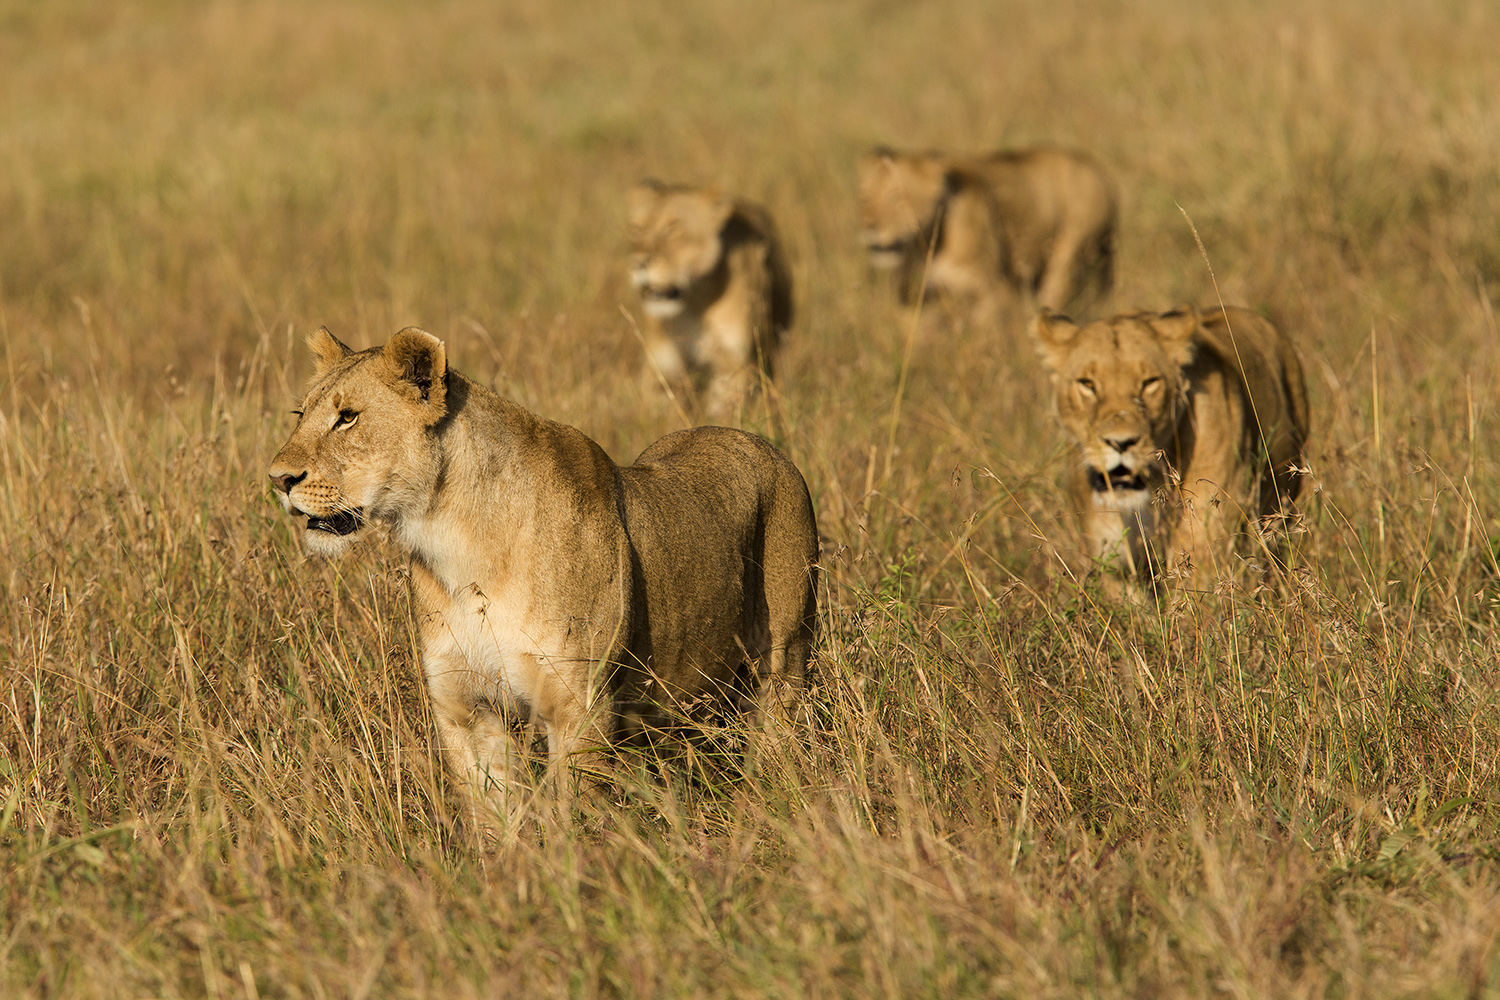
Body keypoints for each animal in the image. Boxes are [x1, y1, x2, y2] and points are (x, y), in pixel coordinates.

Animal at [264, 326, 816, 827]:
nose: (278, 479)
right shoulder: (466, 707)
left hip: (783, 662)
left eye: (347, 417)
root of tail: (758, 442)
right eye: (301, 415)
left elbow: (574, 814)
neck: (454, 545)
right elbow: (492, 815)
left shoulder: (578, 704)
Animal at [624, 182, 792, 419]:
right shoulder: (665, 366)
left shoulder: (731, 364)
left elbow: (724, 412)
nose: (638, 263)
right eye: (636, 230)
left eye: (673, 229)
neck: (694, 303)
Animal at [858, 144, 1116, 322]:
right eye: (866, 196)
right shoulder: (916, 297)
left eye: (897, 197)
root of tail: (1098, 170)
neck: (928, 245)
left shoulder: (992, 290)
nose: (869, 226)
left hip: (1068, 259)